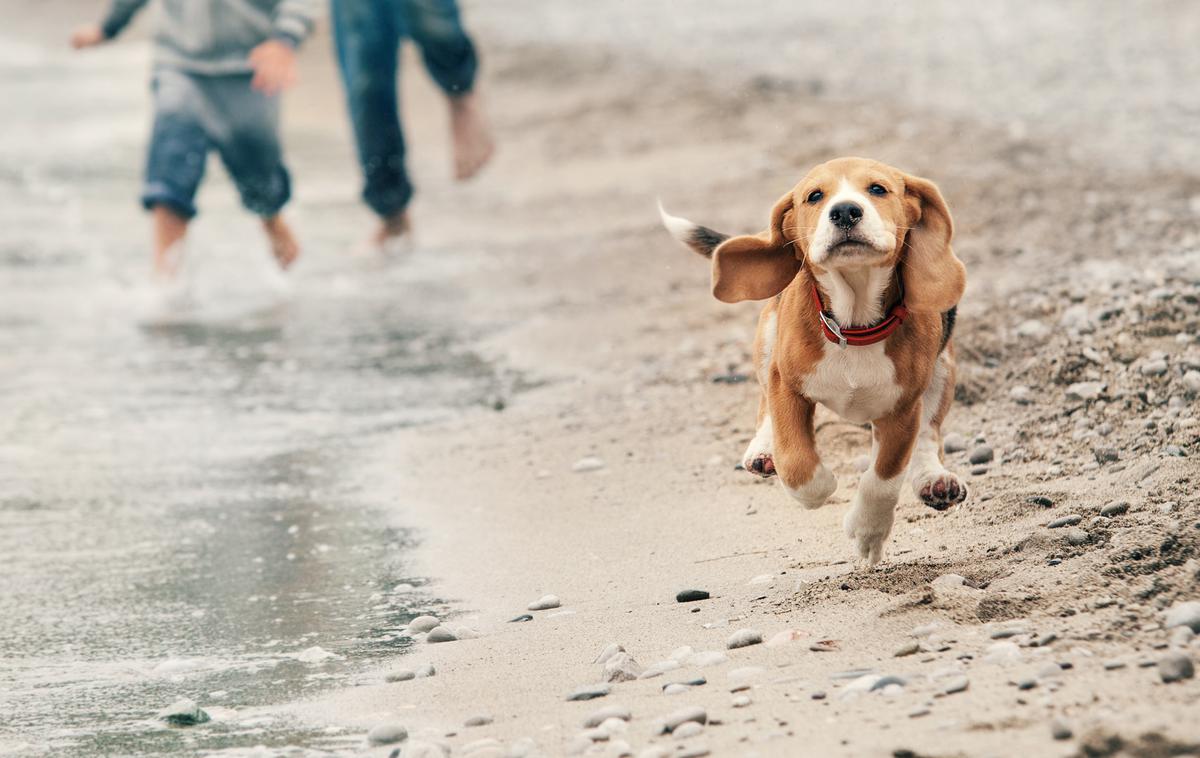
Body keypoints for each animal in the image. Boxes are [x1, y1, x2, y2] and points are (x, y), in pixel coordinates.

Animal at [662, 157, 969, 566]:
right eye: (814, 196)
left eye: (877, 189)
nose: (845, 211)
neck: (853, 324)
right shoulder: (787, 383)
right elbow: (796, 461)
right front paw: (819, 487)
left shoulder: (902, 409)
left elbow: (884, 478)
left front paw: (867, 533)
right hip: (769, 337)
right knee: (765, 404)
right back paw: (763, 450)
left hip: (943, 367)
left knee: (929, 433)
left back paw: (935, 480)